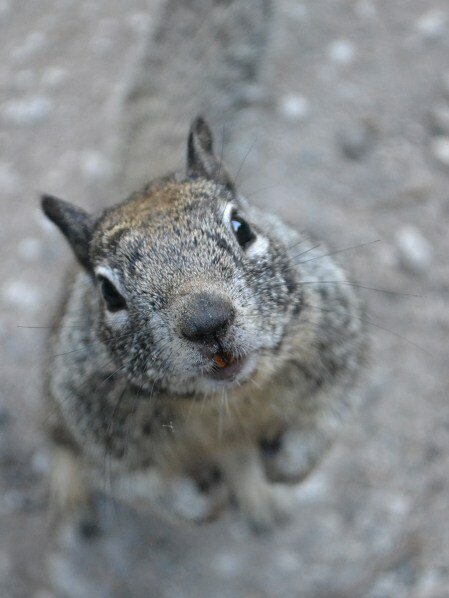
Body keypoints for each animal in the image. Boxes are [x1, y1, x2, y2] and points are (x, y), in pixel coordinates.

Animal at [40, 0, 366, 536]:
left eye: (242, 227)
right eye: (108, 293)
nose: (208, 322)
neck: (228, 402)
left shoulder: (336, 341)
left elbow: (328, 417)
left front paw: (287, 464)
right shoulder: (101, 426)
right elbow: (141, 485)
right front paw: (198, 503)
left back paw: (260, 498)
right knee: (58, 439)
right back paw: (69, 491)